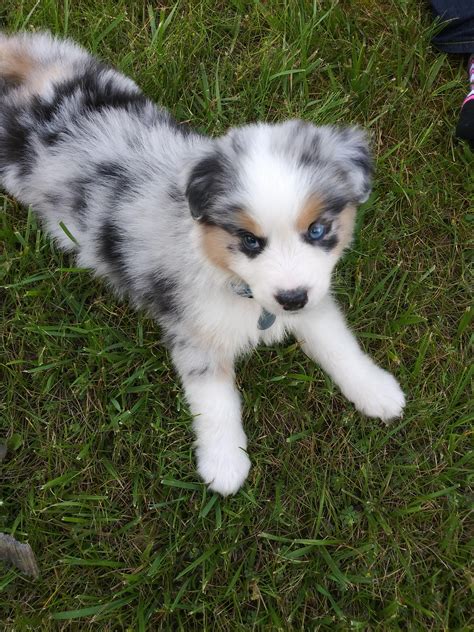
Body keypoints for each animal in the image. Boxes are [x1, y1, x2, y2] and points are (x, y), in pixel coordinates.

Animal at [1, 32, 406, 496]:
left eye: (318, 230)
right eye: (249, 241)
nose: (290, 299)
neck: (235, 284)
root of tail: (30, 76)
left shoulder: (314, 296)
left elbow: (339, 345)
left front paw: (377, 392)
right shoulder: (193, 331)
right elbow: (216, 401)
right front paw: (225, 465)